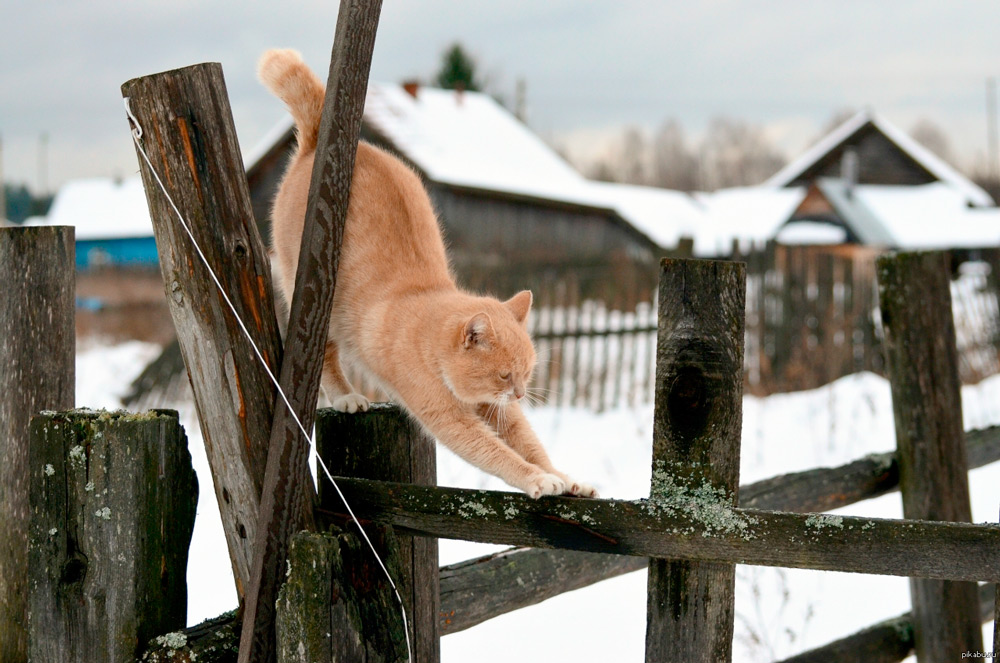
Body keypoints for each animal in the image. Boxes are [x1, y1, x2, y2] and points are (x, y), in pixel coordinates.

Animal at [260, 50, 592, 498]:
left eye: (527, 374)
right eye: (505, 374)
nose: (522, 394)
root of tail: (319, 142)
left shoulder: (498, 410)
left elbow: (529, 445)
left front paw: (566, 478)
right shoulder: (449, 418)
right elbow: (500, 455)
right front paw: (538, 479)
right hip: (314, 300)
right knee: (328, 359)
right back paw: (347, 397)